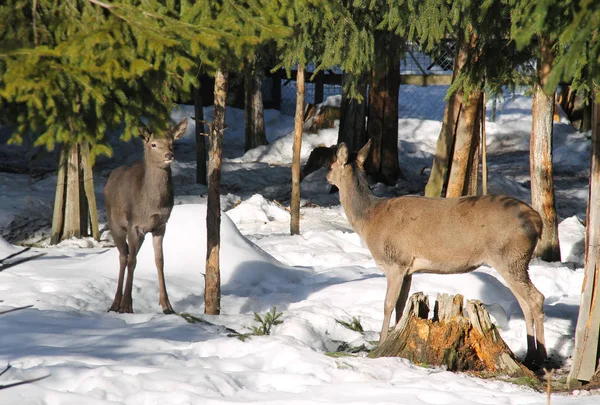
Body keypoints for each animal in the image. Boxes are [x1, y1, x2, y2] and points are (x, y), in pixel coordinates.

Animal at [103, 118, 188, 314]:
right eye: (153, 144)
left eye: (172, 142)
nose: (169, 155)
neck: (150, 204)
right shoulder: (134, 225)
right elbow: (132, 261)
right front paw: (126, 306)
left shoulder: (160, 226)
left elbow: (160, 261)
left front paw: (167, 305)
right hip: (115, 224)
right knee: (123, 256)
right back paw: (115, 303)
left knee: (128, 254)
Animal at [328, 140, 548, 366]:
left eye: (331, 165)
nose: (327, 177)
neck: (369, 219)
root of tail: (538, 221)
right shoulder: (408, 268)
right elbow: (401, 304)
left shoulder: (394, 262)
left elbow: (388, 304)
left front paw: (380, 345)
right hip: (516, 260)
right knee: (524, 302)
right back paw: (531, 356)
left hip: (509, 256)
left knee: (536, 298)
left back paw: (541, 357)